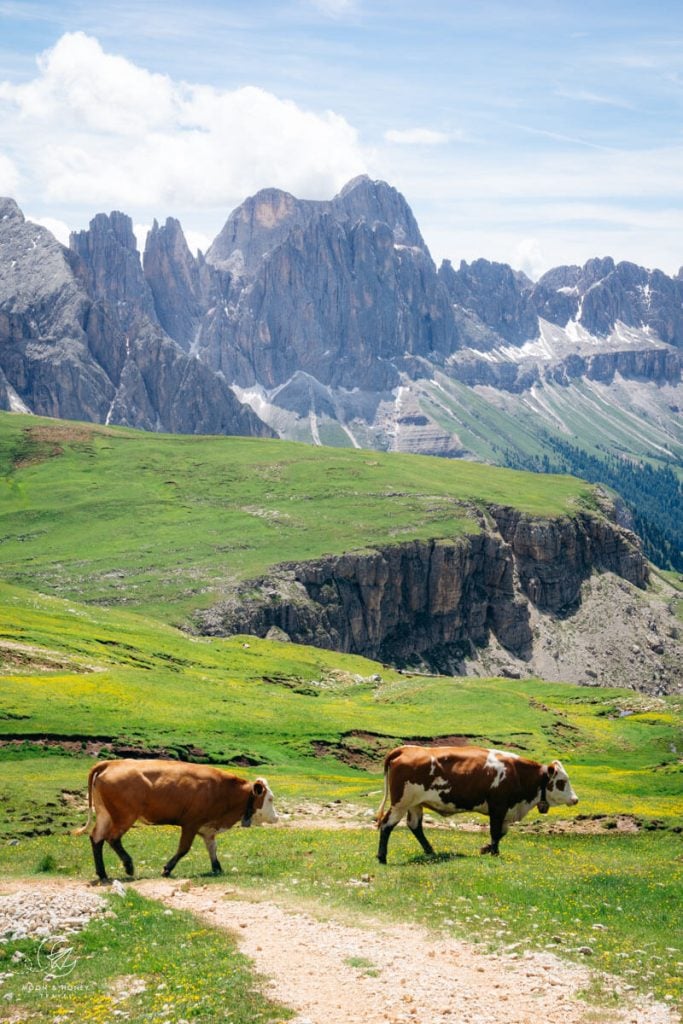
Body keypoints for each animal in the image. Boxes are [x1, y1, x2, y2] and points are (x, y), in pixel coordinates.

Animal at [74, 757, 278, 884]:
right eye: (270, 799)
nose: (276, 817)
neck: (223, 790)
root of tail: (111, 763)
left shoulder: (208, 828)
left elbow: (212, 848)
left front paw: (217, 868)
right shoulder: (191, 824)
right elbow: (183, 849)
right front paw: (167, 869)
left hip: (105, 814)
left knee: (97, 838)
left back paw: (102, 874)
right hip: (124, 816)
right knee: (112, 838)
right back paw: (129, 866)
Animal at [376, 745, 581, 864]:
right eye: (561, 781)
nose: (575, 799)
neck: (516, 773)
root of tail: (405, 749)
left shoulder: (505, 811)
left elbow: (501, 833)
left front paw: (486, 848)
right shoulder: (498, 807)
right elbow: (495, 832)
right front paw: (494, 853)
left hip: (415, 804)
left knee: (415, 826)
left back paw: (431, 851)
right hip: (400, 803)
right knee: (387, 825)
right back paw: (382, 857)